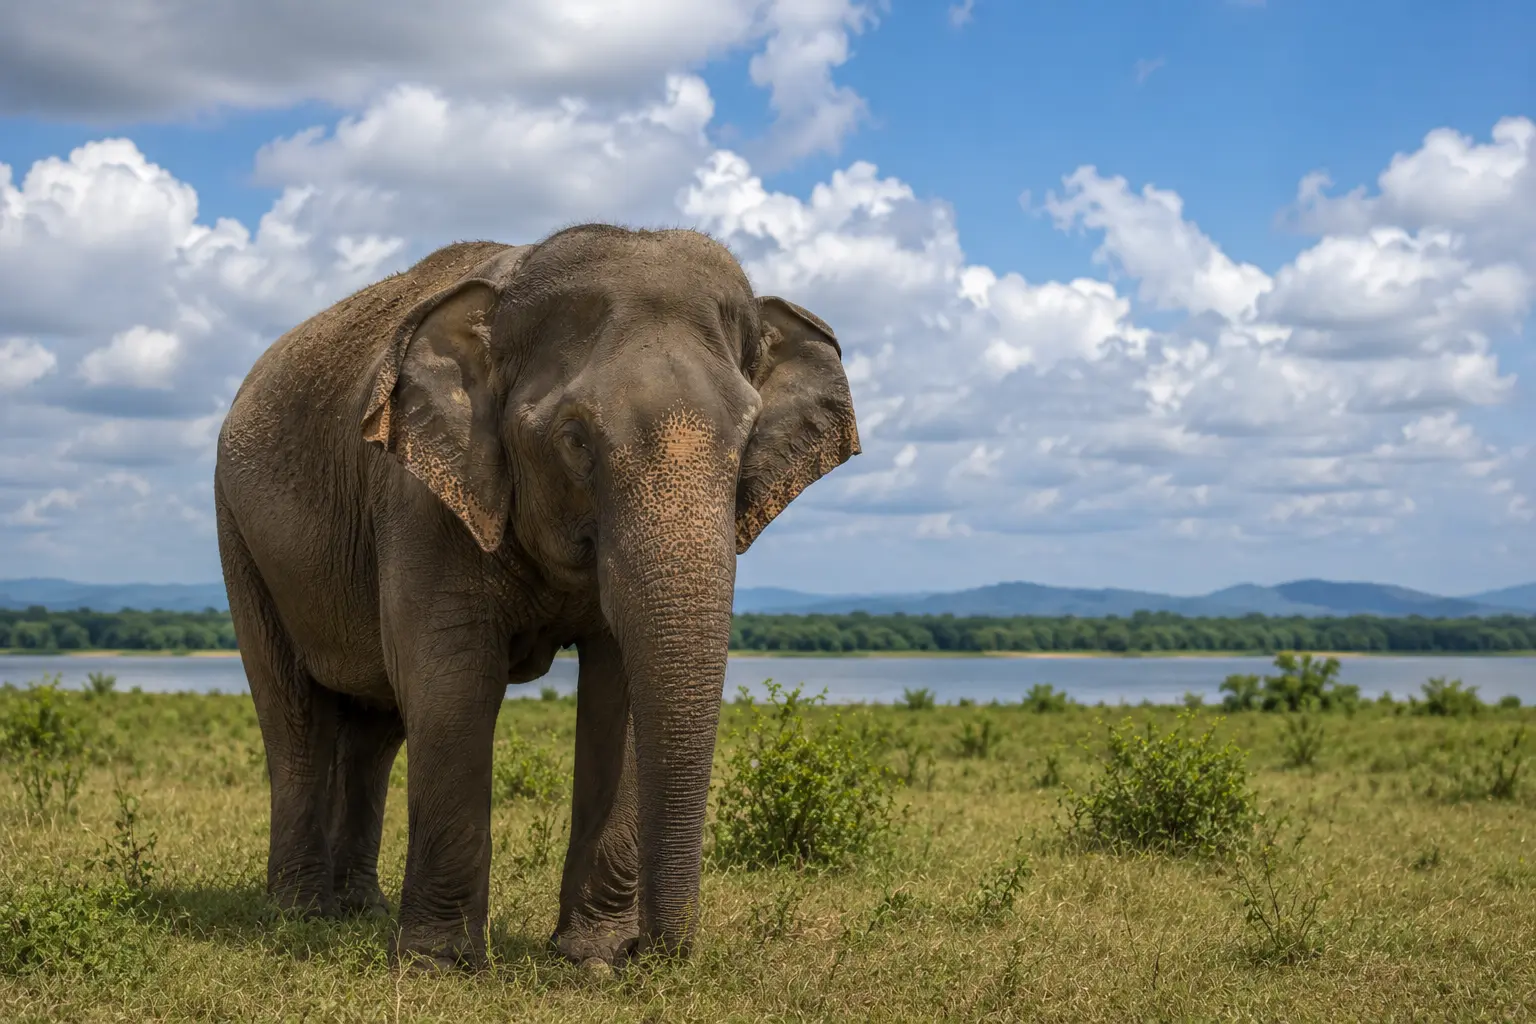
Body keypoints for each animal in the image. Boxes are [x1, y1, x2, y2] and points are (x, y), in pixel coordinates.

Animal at [212, 224, 860, 970]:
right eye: (575, 439)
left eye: (748, 439)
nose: (654, 955)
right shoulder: (420, 495)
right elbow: (453, 679)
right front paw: (439, 966)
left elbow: (618, 689)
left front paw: (591, 960)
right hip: (240, 536)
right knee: (295, 716)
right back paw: (300, 913)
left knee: (375, 728)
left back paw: (358, 910)